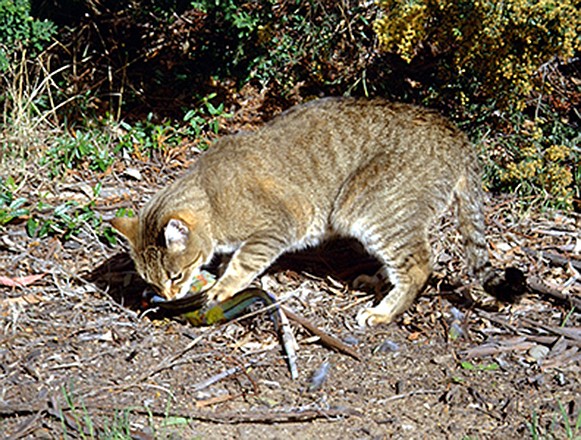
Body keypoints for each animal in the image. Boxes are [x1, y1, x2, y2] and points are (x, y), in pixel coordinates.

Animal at [110, 96, 520, 324]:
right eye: (152, 282)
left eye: (176, 276)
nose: (169, 296)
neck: (211, 198)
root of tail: (458, 136)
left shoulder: (279, 225)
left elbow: (243, 262)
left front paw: (222, 286)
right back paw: (377, 280)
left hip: (368, 209)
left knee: (419, 264)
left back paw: (383, 312)